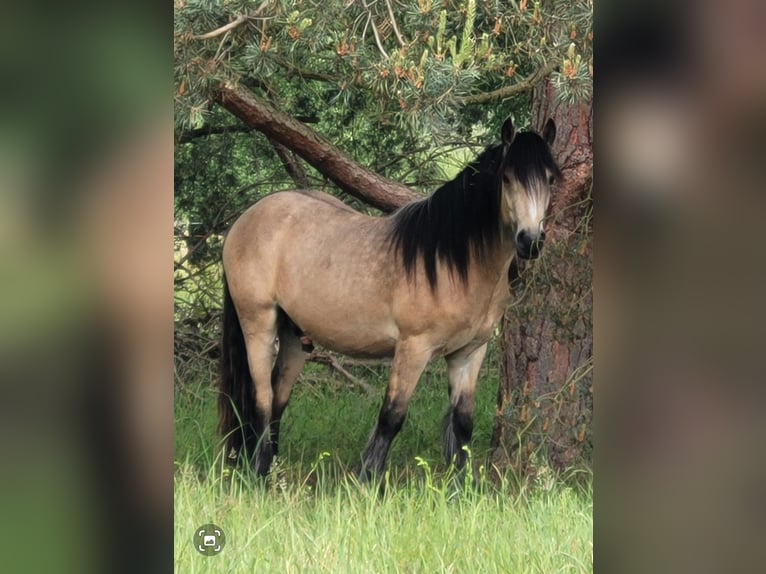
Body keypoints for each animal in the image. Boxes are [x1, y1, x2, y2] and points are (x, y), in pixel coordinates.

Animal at [218, 117, 560, 480]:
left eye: (550, 179)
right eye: (507, 178)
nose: (530, 241)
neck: (456, 263)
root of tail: (245, 220)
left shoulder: (469, 353)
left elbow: (463, 422)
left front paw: (462, 485)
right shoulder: (413, 348)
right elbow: (391, 417)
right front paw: (366, 481)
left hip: (295, 336)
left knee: (278, 400)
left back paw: (273, 473)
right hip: (259, 324)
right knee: (262, 400)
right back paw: (258, 474)